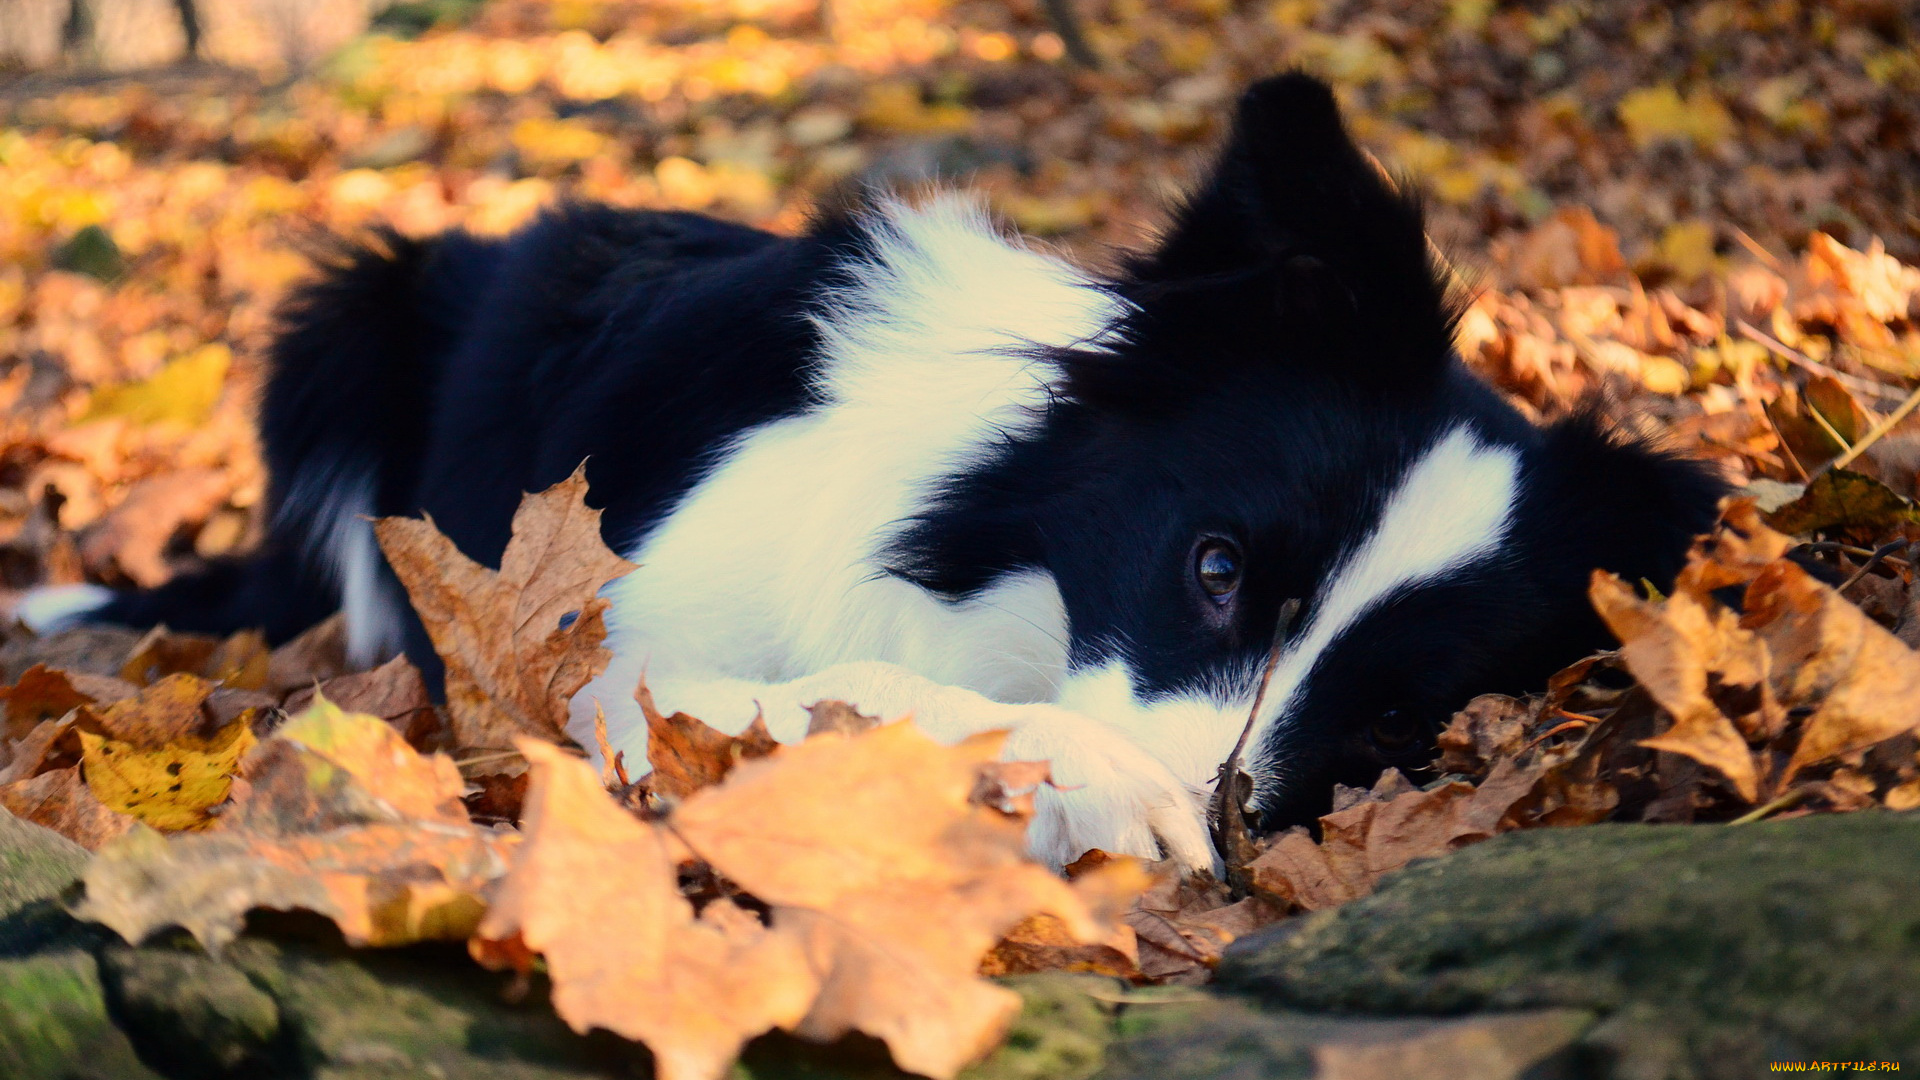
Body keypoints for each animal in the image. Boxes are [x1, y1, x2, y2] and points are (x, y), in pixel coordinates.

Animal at [15, 73, 1728, 864]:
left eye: (1385, 719)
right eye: (1217, 568)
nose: (1217, 850)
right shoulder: (585, 664)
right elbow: (857, 691)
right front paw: (1102, 784)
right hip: (342, 317)